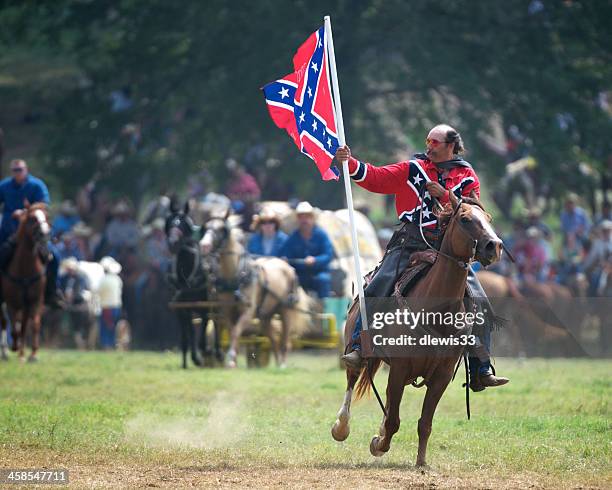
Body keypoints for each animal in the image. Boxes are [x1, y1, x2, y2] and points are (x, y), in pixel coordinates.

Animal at [0, 202, 50, 360]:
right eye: (32, 218)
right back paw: (8, 351)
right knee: (6, 323)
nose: (45, 233)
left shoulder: (35, 300)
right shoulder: (12, 303)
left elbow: (34, 324)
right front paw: (14, 347)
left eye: (46, 216)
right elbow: (14, 326)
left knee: (23, 324)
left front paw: (33, 354)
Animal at [166, 202, 224, 368]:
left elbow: (203, 331)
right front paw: (189, 360)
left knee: (217, 322)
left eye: (183, 224)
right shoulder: (182, 309)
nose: (173, 243)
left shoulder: (204, 307)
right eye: (170, 222)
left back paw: (217, 352)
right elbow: (187, 336)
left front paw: (204, 352)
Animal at [330, 191, 502, 468]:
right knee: (352, 378)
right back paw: (341, 427)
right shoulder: (400, 369)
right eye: (465, 219)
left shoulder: (441, 376)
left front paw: (421, 462)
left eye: (488, 218)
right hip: (356, 351)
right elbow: (394, 421)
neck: (436, 314)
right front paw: (379, 444)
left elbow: (424, 423)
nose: (494, 246)